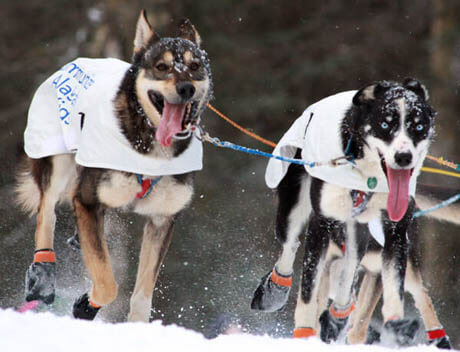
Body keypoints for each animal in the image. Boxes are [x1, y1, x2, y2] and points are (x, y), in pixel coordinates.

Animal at [15, 10, 214, 322]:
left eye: (194, 66)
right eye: (161, 66)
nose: (186, 88)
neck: (150, 150)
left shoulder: (162, 219)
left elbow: (143, 294)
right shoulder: (87, 200)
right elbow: (107, 283)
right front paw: (86, 305)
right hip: (58, 164)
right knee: (46, 214)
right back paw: (42, 273)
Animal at [250, 80, 452, 350]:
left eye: (418, 126)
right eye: (385, 124)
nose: (404, 157)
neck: (366, 180)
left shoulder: (394, 235)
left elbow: (392, 288)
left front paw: (395, 322)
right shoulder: (321, 225)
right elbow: (308, 292)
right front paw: (304, 333)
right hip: (292, 211)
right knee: (290, 246)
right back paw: (276, 290)